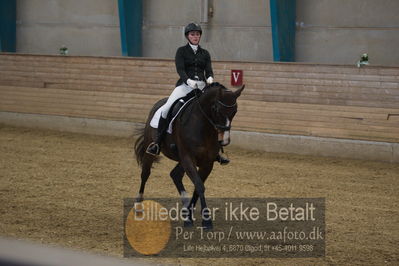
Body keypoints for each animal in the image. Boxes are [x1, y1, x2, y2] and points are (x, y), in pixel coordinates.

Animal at [134, 83, 244, 229]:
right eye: (216, 109)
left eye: (235, 111)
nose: (224, 140)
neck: (204, 128)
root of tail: (159, 103)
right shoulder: (188, 158)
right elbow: (199, 185)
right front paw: (206, 220)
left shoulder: (207, 163)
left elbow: (198, 188)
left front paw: (189, 217)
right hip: (151, 152)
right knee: (145, 174)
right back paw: (138, 205)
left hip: (182, 161)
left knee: (175, 175)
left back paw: (185, 207)